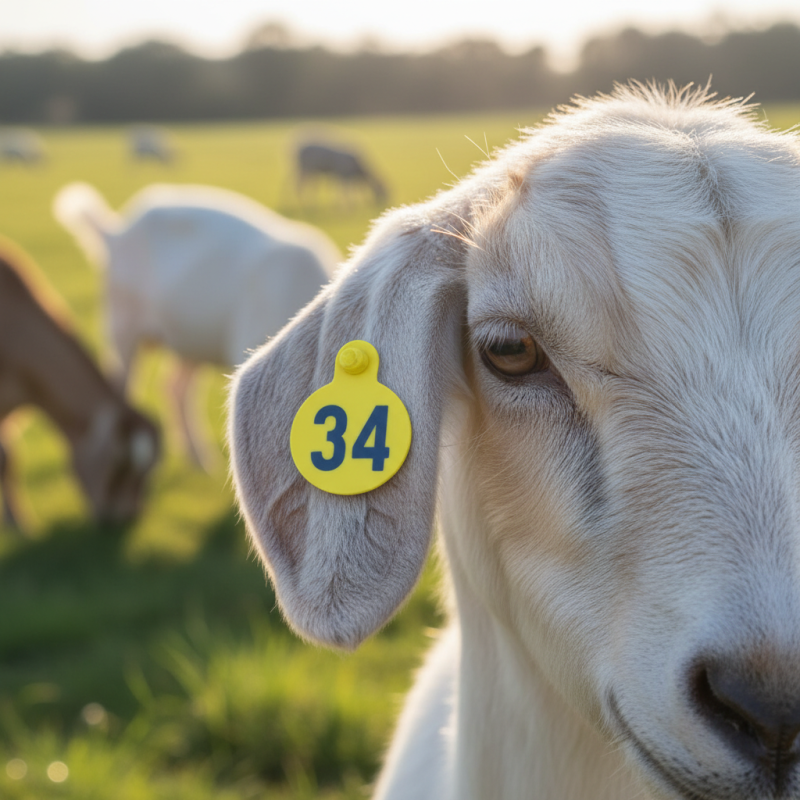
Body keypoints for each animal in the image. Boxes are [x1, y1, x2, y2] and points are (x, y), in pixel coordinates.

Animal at [0, 241, 160, 529]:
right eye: (117, 466)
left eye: (147, 474)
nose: (125, 516)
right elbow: (5, 458)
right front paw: (16, 522)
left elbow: (10, 457)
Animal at [53, 183, 340, 467]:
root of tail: (113, 232)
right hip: (121, 323)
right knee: (122, 380)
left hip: (190, 342)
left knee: (175, 388)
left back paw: (199, 459)